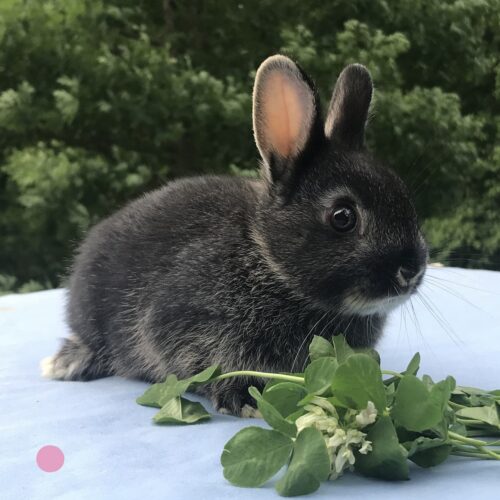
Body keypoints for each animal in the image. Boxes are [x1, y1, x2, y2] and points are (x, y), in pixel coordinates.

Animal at [41, 54, 428, 416]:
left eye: (405, 196)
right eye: (343, 217)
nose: (411, 270)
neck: (266, 258)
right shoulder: (184, 322)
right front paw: (244, 398)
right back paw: (65, 364)